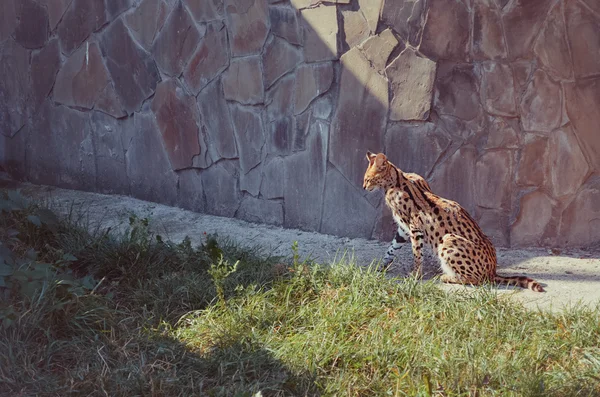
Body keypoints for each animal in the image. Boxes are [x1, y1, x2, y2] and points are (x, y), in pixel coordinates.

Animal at [364, 150, 548, 292]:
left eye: (367, 179)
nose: (364, 187)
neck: (395, 180)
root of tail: (492, 271)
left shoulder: (414, 227)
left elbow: (417, 254)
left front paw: (415, 275)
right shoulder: (403, 229)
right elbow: (391, 248)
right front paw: (381, 267)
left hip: (447, 239)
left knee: (479, 280)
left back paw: (447, 277)